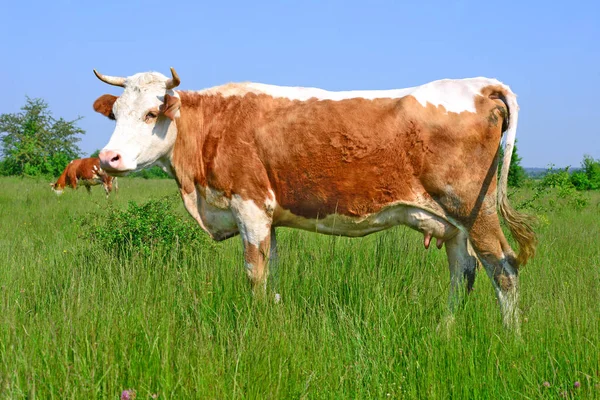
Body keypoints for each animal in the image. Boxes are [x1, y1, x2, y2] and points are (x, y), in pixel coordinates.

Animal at [95, 68, 540, 332]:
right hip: (453, 223)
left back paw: (510, 338)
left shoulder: (249, 206)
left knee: (503, 267)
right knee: (463, 272)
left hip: (474, 208)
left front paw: (257, 326)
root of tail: (479, 83)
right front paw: (272, 316)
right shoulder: (268, 217)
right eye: (115, 113)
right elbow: (271, 271)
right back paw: (445, 330)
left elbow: (253, 272)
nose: (108, 158)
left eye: (152, 114)